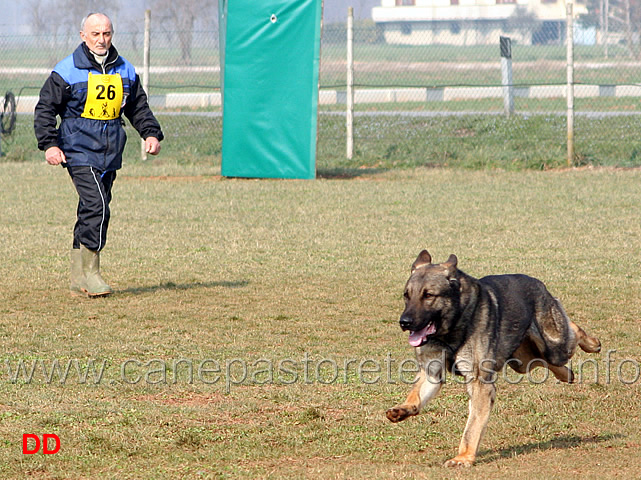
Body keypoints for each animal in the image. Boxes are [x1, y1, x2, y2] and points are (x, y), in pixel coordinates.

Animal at [384, 253, 600, 466]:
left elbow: (471, 428)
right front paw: (403, 409)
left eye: (428, 295)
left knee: (572, 332)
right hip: (523, 361)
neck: (454, 327)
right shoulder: (432, 373)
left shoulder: (480, 383)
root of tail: (540, 285)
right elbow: (416, 395)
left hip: (555, 347)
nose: (404, 322)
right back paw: (568, 375)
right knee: (549, 361)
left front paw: (463, 457)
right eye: (406, 295)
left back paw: (592, 343)